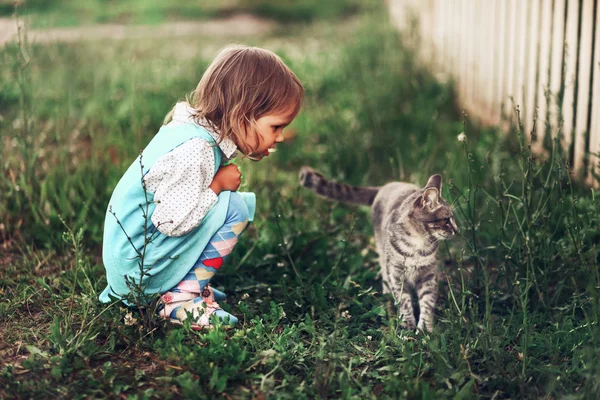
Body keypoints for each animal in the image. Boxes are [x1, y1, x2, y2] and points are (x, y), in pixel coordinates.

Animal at [298, 166, 458, 332]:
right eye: (446, 220)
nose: (456, 230)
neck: (417, 243)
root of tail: (385, 186)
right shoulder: (396, 273)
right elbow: (404, 301)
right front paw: (407, 323)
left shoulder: (428, 275)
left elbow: (427, 302)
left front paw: (424, 329)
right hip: (383, 254)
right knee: (384, 272)